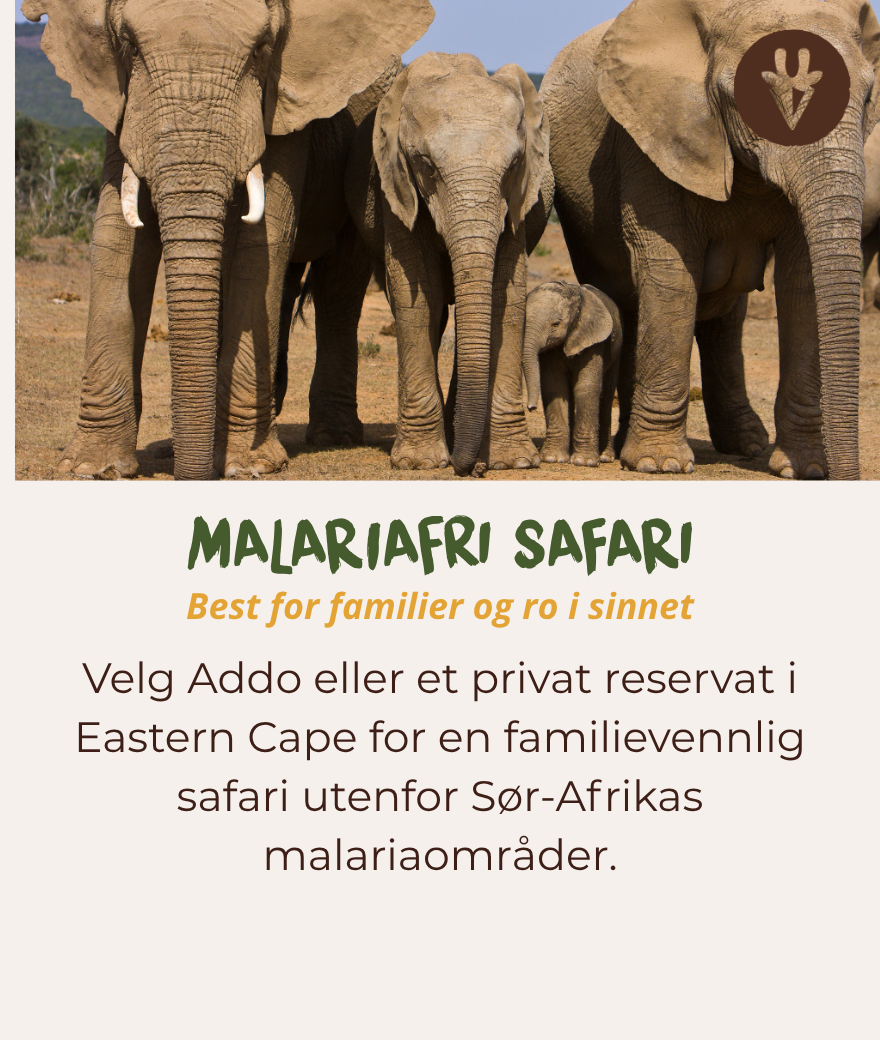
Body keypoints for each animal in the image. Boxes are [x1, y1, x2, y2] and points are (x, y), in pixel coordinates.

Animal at [25, 0, 434, 480]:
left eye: (260, 50)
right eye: (128, 45)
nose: (190, 476)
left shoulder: (279, 106)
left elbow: (261, 243)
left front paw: (245, 465)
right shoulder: (121, 106)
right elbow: (116, 239)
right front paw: (92, 467)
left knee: (337, 289)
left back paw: (332, 436)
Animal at [346, 53, 555, 475]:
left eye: (514, 165)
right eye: (426, 165)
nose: (469, 468)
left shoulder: (517, 204)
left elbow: (506, 296)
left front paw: (513, 461)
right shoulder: (397, 189)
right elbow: (418, 297)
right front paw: (419, 462)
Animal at [522, 281, 622, 467]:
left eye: (556, 324)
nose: (530, 408)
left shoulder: (594, 340)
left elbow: (586, 388)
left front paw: (585, 462)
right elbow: (555, 387)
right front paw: (553, 458)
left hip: (616, 351)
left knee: (606, 395)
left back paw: (605, 457)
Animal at [541, 0, 880, 480]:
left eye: (868, 98)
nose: (845, 477)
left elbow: (803, 282)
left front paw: (806, 469)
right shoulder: (646, 139)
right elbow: (671, 274)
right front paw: (659, 464)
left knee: (725, 319)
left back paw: (746, 444)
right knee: (628, 301)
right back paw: (625, 448)